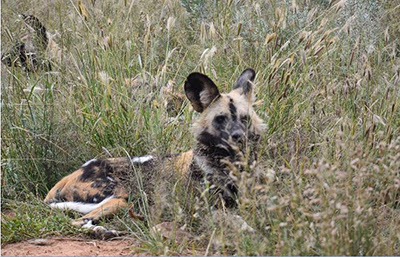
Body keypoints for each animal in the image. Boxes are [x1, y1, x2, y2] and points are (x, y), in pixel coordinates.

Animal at [44, 67, 266, 226]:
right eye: (220, 119)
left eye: (244, 119)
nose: (238, 137)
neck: (228, 164)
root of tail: (68, 176)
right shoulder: (207, 209)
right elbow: (241, 223)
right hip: (121, 196)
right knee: (79, 222)